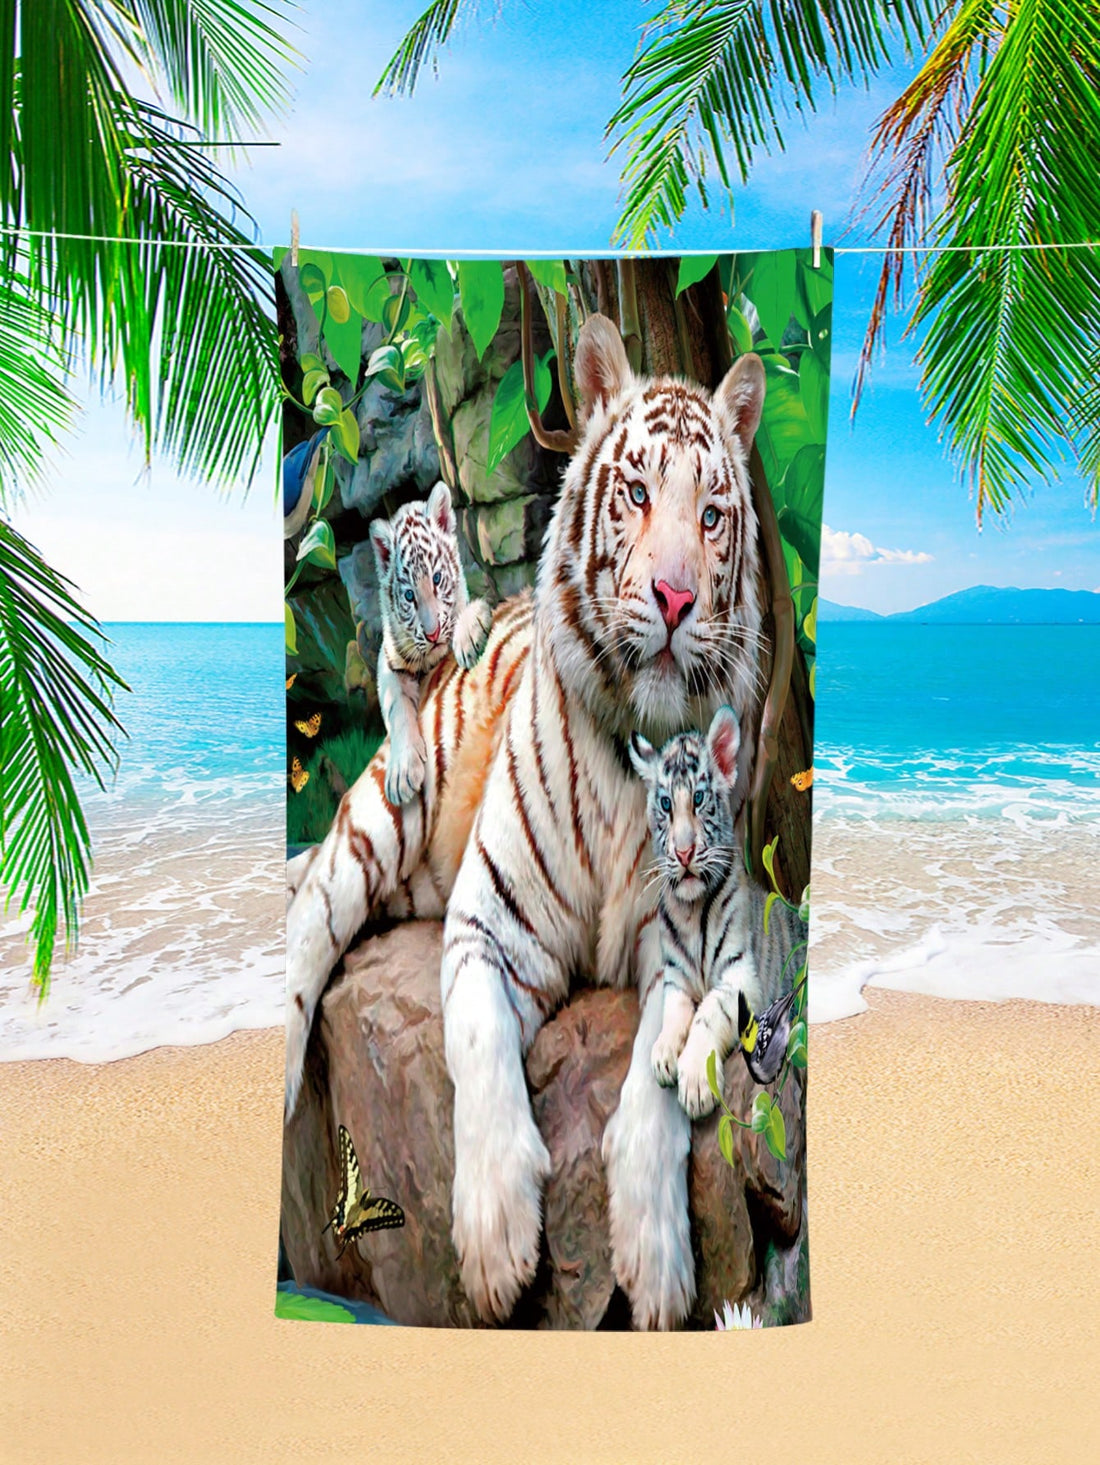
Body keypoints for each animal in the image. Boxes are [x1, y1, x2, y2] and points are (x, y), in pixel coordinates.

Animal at [370, 481, 493, 805]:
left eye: (437, 579)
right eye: (409, 595)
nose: (433, 633)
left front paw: (468, 636)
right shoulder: (388, 662)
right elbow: (397, 707)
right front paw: (402, 774)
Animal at [629, 705, 806, 1119]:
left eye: (698, 798)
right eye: (665, 804)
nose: (683, 853)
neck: (689, 909)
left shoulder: (742, 978)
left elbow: (707, 1013)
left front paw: (695, 1082)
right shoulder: (675, 977)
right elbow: (674, 1009)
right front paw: (663, 1052)